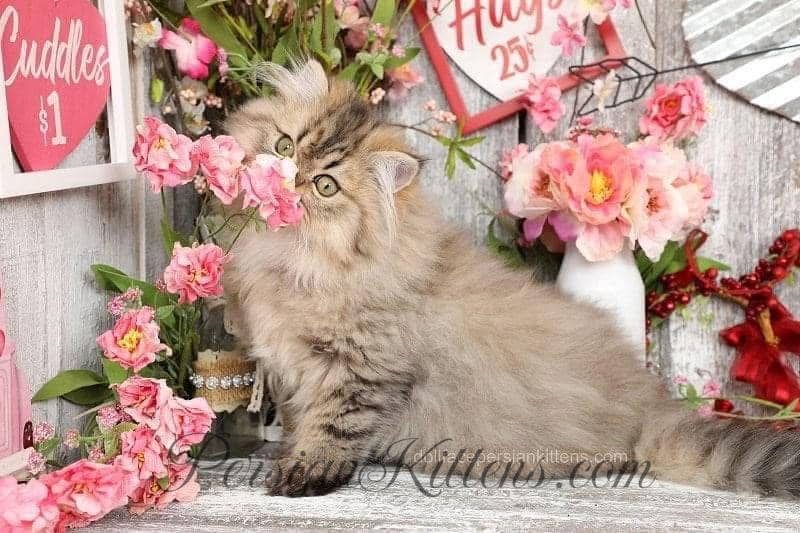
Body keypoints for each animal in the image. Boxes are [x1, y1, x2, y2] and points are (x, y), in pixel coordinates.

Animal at [222, 61, 800, 498]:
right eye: (284, 146)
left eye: (325, 185)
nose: (287, 179)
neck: (299, 264)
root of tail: (651, 410)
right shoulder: (291, 374)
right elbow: (298, 420)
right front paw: (285, 453)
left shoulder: (361, 370)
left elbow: (333, 430)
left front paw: (303, 475)